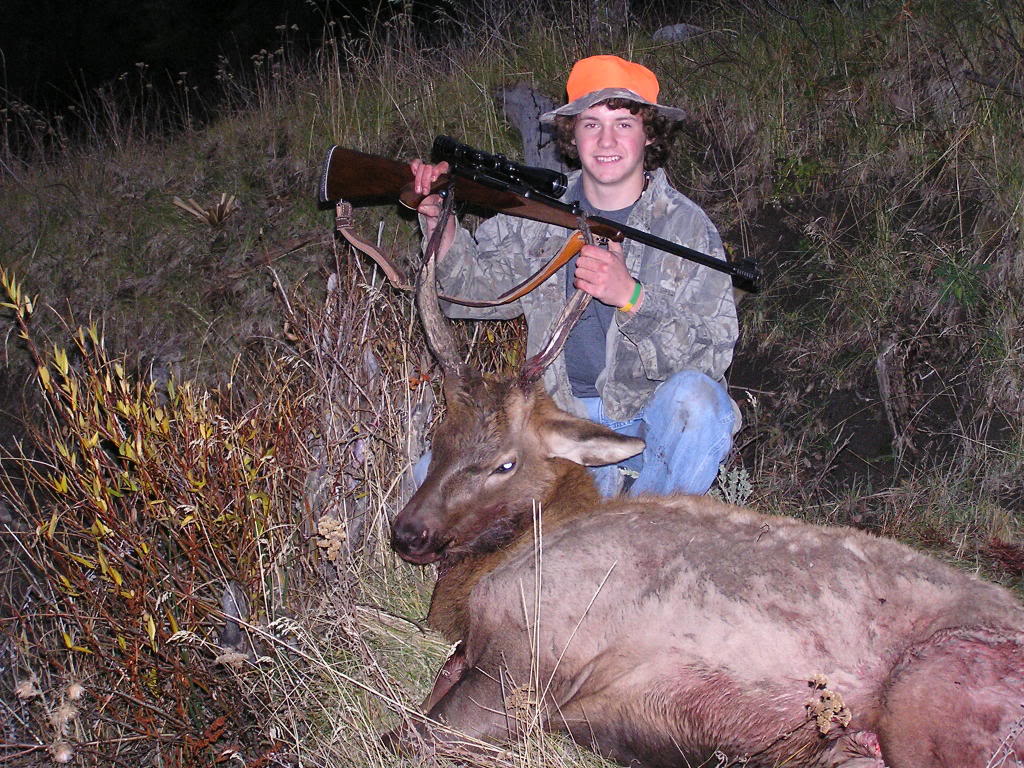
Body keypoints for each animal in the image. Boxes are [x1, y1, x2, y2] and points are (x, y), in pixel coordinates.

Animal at [388, 202, 1024, 767]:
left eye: (505, 463)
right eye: (439, 433)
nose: (408, 532)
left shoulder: (527, 664)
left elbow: (413, 736)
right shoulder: (475, 657)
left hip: (930, 690)